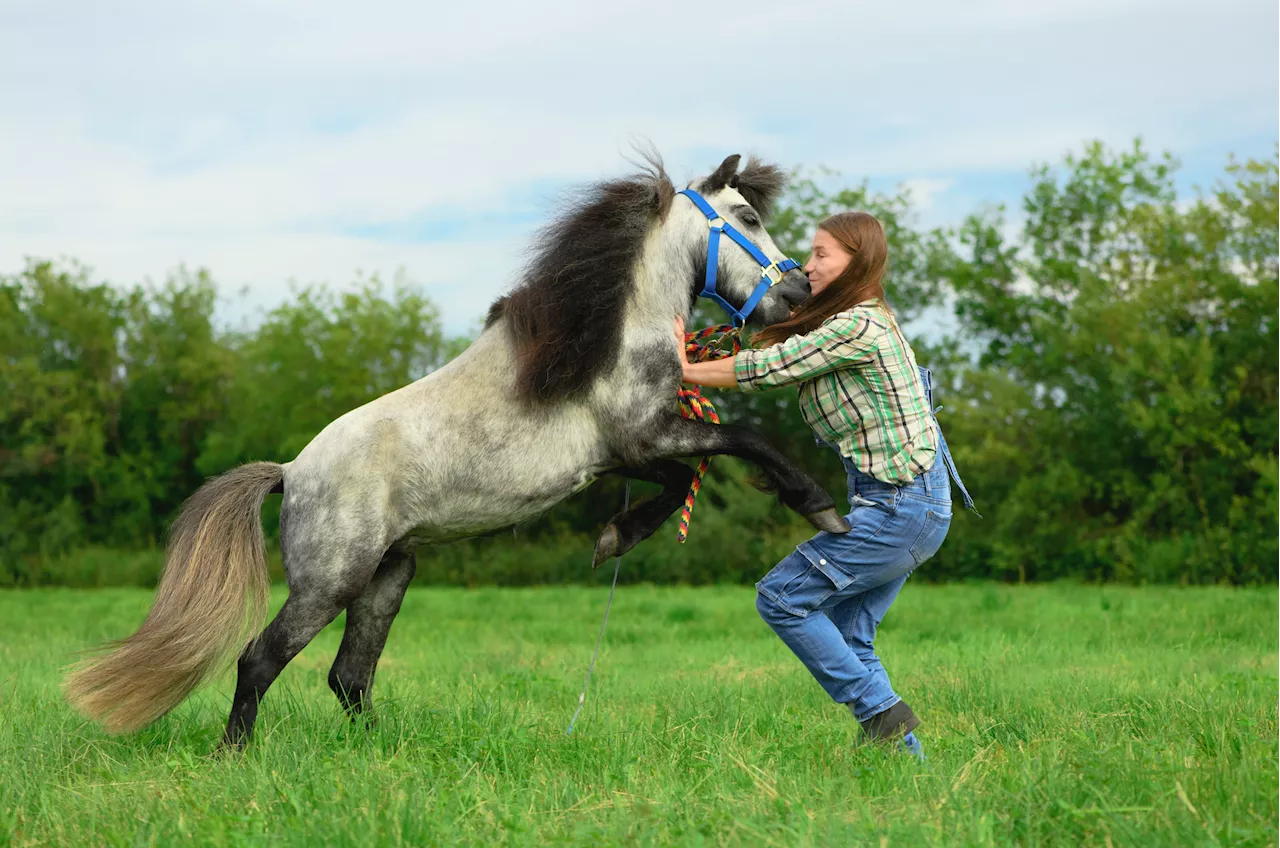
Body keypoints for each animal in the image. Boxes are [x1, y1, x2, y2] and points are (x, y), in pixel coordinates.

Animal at [67, 153, 849, 753]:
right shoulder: (643, 435)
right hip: (330, 581)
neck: (609, 335)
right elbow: (744, 444)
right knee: (260, 660)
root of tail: (291, 473)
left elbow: (684, 478)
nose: (796, 293)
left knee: (349, 676)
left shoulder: (628, 454)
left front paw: (614, 537)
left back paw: (380, 753)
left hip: (389, 575)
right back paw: (234, 756)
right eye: (747, 217)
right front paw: (820, 508)